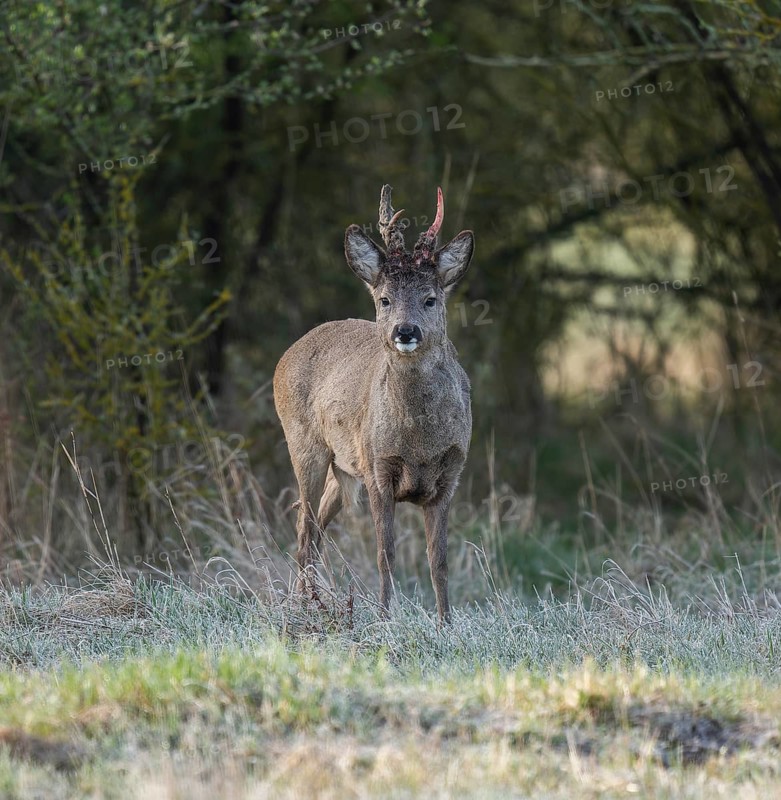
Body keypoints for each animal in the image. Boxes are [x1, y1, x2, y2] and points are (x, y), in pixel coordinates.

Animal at [273, 185, 475, 622]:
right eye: (384, 299)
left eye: (430, 299)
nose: (405, 330)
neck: (419, 441)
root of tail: (287, 354)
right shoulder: (378, 468)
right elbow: (386, 554)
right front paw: (384, 618)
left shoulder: (451, 475)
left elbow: (439, 560)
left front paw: (445, 622)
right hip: (304, 445)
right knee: (303, 527)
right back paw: (302, 606)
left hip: (343, 469)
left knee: (316, 528)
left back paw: (311, 601)